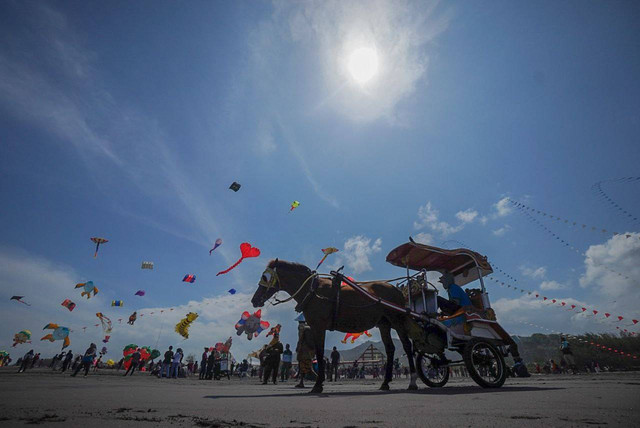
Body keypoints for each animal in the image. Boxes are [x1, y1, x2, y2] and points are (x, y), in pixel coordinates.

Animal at [250, 260, 420, 392]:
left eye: (265, 277)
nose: (254, 300)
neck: (312, 291)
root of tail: (396, 289)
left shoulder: (318, 326)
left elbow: (319, 353)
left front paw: (318, 384)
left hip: (397, 321)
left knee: (406, 346)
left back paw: (412, 381)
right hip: (384, 323)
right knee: (390, 349)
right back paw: (385, 383)